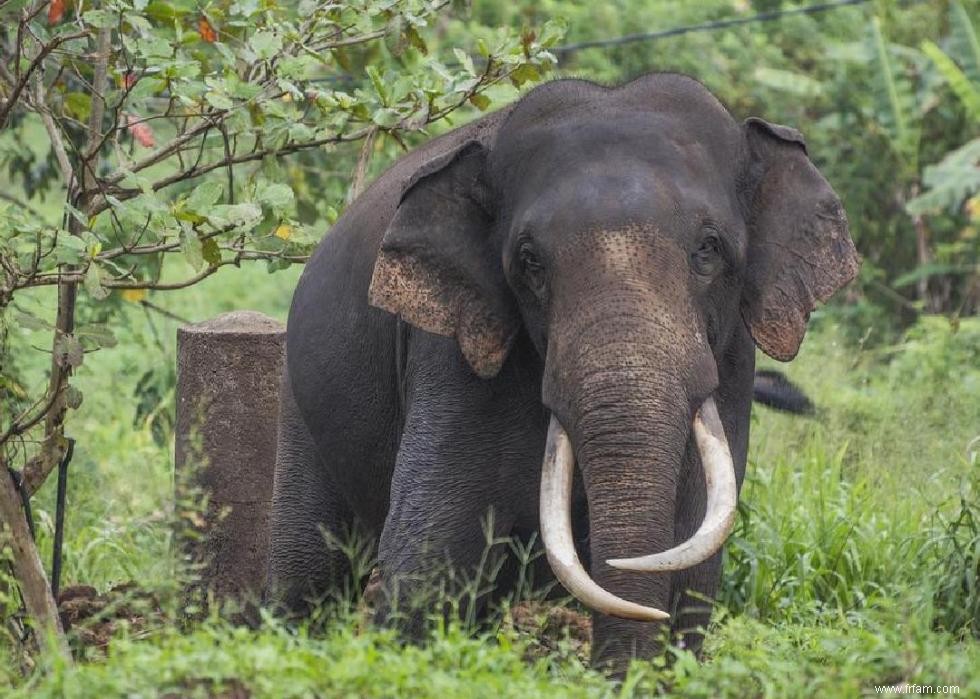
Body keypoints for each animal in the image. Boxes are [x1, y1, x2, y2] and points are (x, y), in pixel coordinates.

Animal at [266, 74, 856, 676]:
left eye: (708, 249)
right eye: (530, 262)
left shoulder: (734, 355)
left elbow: (694, 543)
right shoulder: (452, 351)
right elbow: (433, 546)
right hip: (297, 396)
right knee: (309, 565)